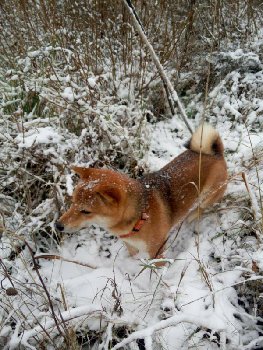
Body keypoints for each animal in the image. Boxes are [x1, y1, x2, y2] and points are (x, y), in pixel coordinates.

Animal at [56, 125, 228, 260]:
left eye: (86, 211)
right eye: (72, 203)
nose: (58, 226)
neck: (139, 216)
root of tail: (215, 153)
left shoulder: (156, 250)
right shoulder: (131, 246)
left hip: (209, 194)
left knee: (202, 206)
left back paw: (192, 216)